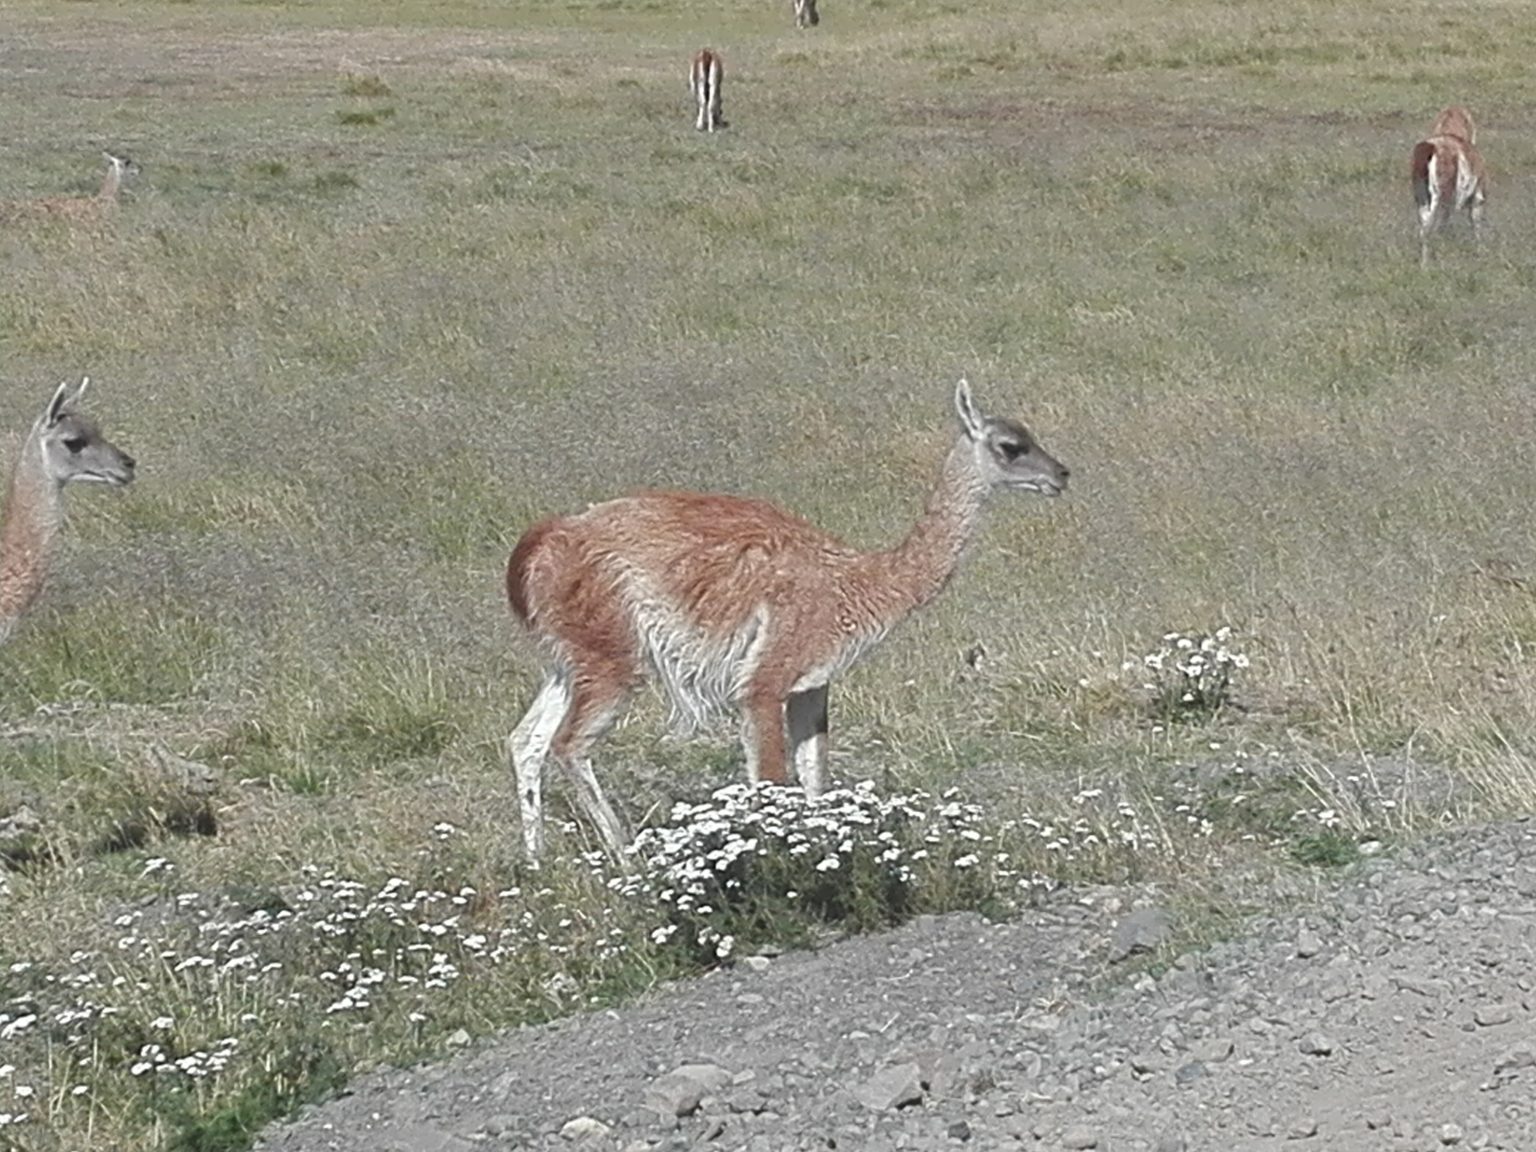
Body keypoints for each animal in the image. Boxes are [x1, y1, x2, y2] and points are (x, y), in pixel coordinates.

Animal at [504, 380, 1070, 862]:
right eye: (1011, 446)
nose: (1062, 474)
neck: (861, 583)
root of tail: (543, 542)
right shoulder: (763, 681)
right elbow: (771, 781)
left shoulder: (813, 684)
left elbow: (815, 777)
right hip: (612, 655)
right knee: (569, 745)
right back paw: (626, 857)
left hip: (568, 659)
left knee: (526, 741)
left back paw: (537, 861)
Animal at [1411, 105, 1486, 267]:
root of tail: (1431, 148)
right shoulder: (1477, 198)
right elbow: (1476, 227)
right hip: (1440, 199)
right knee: (1432, 227)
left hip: (1424, 200)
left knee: (1424, 229)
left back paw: (1424, 264)